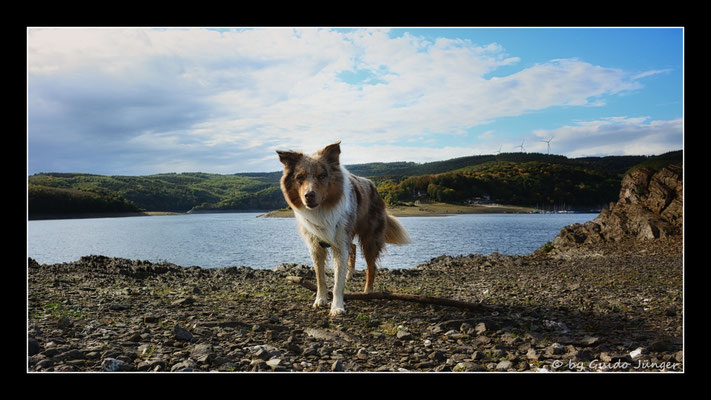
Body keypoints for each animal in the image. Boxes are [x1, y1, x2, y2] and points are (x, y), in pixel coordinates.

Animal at [278, 141, 412, 316]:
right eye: (300, 177)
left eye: (322, 176)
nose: (309, 195)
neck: (322, 211)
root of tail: (372, 185)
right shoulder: (315, 245)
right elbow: (320, 277)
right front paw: (320, 300)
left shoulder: (341, 243)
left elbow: (337, 282)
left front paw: (337, 307)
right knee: (353, 248)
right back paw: (351, 274)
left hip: (369, 238)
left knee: (371, 266)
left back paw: (368, 291)